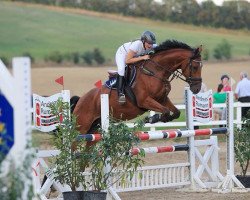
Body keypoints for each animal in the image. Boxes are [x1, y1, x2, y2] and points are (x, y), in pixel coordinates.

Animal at [72, 39, 203, 134]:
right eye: (195, 67)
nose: (197, 89)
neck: (156, 72)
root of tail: (81, 99)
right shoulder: (144, 100)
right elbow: (165, 111)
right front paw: (151, 119)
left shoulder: (162, 99)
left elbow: (176, 112)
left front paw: (160, 119)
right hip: (82, 127)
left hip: (95, 126)